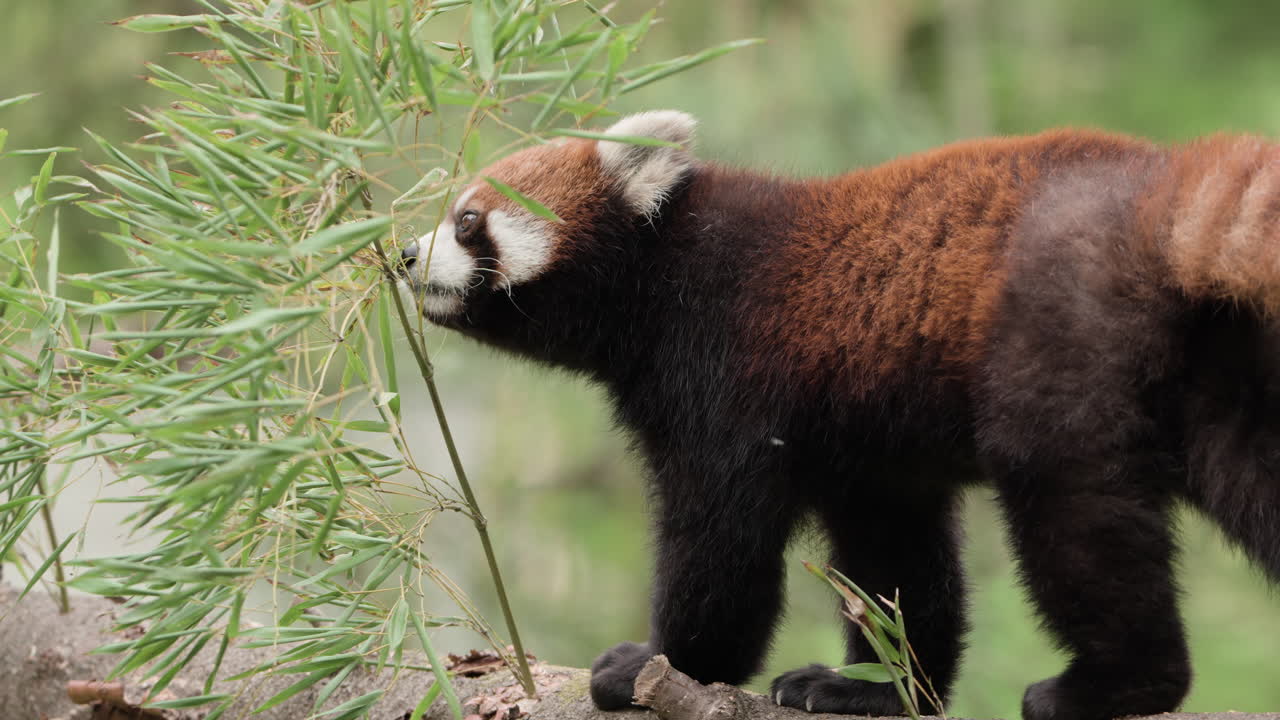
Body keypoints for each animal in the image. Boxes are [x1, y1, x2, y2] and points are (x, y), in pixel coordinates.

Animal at [399, 111, 1280, 720]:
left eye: (469, 219)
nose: (405, 254)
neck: (660, 273)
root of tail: (1155, 182)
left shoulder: (725, 371)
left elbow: (721, 544)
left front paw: (662, 664)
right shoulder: (869, 455)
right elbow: (897, 566)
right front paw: (878, 687)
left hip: (1056, 341)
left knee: (1076, 516)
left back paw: (1118, 684)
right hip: (1216, 368)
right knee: (1250, 478)